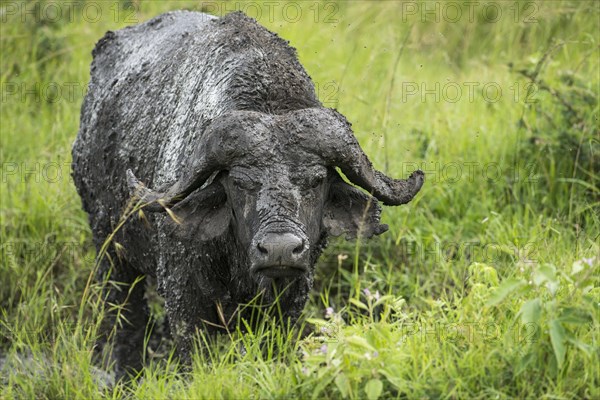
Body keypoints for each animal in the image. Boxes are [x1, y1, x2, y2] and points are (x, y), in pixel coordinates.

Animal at [72, 9, 424, 378]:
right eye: (240, 182)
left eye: (316, 179)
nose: (280, 249)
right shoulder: (185, 300)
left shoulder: (292, 297)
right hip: (109, 250)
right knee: (125, 318)